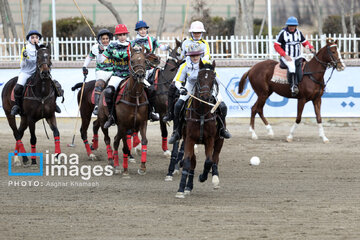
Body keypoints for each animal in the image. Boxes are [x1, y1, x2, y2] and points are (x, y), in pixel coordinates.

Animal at [96, 45, 148, 176]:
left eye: (145, 61)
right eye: (132, 61)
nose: (140, 76)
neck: (135, 96)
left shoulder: (142, 123)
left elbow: (144, 141)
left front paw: (142, 167)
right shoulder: (123, 124)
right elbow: (122, 145)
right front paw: (123, 169)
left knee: (117, 141)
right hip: (103, 121)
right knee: (108, 139)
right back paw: (111, 162)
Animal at [176, 60, 224, 199]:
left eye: (213, 78)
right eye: (199, 77)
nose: (205, 97)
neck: (202, 113)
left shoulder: (210, 139)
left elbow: (208, 161)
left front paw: (202, 177)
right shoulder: (189, 139)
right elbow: (187, 162)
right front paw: (181, 189)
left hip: (220, 141)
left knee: (215, 158)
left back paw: (215, 179)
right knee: (193, 162)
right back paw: (188, 186)